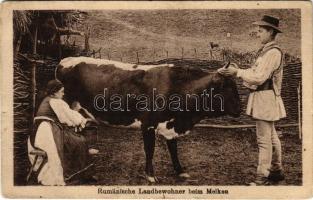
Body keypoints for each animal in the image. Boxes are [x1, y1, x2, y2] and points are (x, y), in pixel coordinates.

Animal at [56, 56, 239, 183]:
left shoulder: (170, 125)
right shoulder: (149, 125)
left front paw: (180, 171)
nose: (239, 109)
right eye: (227, 88)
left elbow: (173, 149)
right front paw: (150, 175)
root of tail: (66, 60)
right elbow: (150, 150)